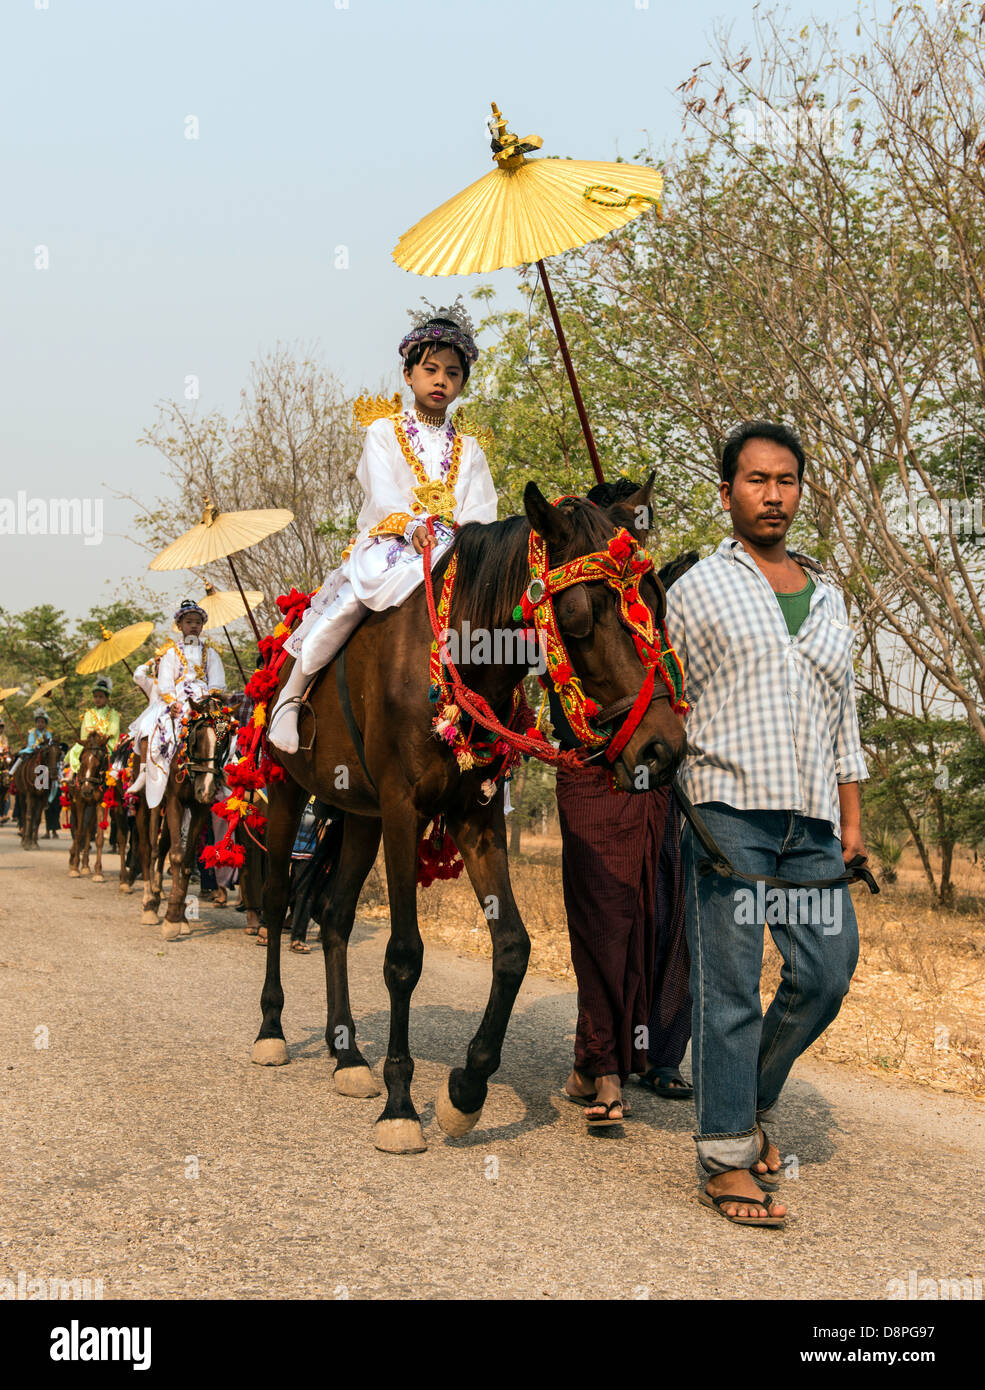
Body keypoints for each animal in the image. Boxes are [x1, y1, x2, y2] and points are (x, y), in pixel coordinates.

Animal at [67, 728, 109, 878]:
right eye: (82, 761)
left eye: (99, 763)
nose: (86, 790)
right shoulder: (80, 802)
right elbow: (79, 833)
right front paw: (74, 867)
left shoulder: (100, 803)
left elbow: (99, 838)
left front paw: (98, 872)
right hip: (74, 804)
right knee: (76, 829)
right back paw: (74, 859)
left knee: (89, 829)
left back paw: (85, 865)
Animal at [132, 700, 232, 939]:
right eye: (197, 739)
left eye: (224, 742)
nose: (206, 790)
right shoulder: (174, 802)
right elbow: (176, 855)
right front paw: (170, 920)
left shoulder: (199, 808)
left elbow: (186, 861)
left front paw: (180, 917)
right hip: (147, 803)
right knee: (148, 848)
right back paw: (149, 903)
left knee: (161, 846)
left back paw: (158, 894)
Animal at [254, 483, 683, 1156]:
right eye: (579, 617)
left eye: (657, 604)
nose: (663, 751)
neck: (455, 660)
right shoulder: (403, 811)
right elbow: (404, 957)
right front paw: (402, 1106)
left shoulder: (475, 817)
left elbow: (512, 948)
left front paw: (466, 1090)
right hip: (287, 790)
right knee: (276, 900)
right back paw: (272, 1029)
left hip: (357, 815)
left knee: (334, 915)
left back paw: (347, 1055)